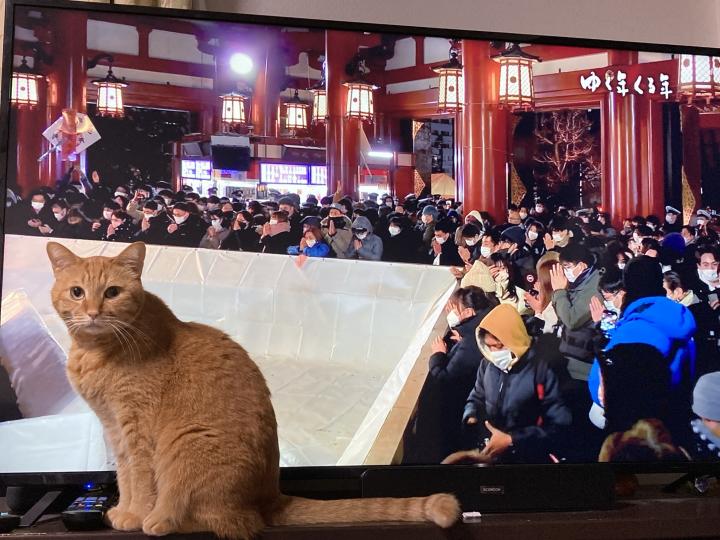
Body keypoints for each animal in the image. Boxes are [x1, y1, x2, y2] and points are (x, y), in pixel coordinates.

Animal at [46, 241, 460, 539]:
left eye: (112, 292)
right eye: (77, 292)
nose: (94, 312)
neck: (97, 351)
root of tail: (270, 497)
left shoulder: (137, 430)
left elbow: (139, 480)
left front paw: (135, 516)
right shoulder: (114, 427)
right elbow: (123, 477)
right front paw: (123, 510)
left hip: (185, 445)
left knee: (223, 521)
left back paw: (161, 521)